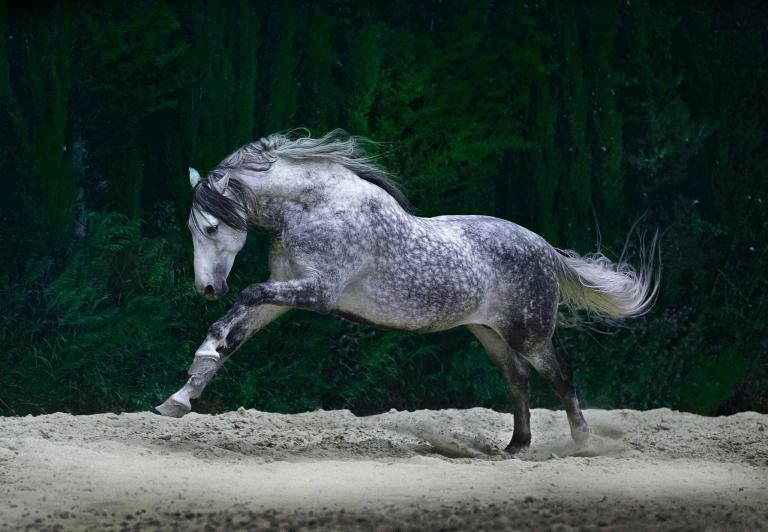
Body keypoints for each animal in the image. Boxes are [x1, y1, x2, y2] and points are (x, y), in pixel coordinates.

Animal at [156, 129, 658, 451]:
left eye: (211, 226)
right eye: (194, 227)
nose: (207, 287)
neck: (316, 209)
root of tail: (546, 250)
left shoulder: (316, 293)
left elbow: (244, 300)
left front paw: (199, 364)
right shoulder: (284, 293)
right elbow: (236, 331)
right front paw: (179, 397)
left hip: (529, 334)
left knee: (560, 376)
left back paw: (582, 444)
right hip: (489, 333)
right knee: (518, 380)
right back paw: (516, 446)